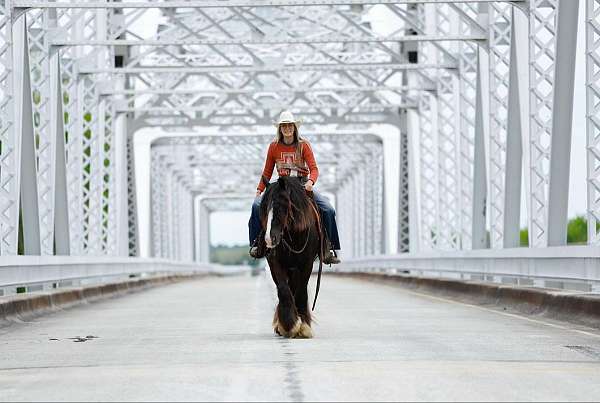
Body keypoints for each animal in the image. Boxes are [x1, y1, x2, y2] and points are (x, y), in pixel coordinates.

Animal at [258, 176, 324, 338]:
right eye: (264, 208)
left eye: (282, 205)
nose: (269, 239)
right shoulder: (275, 262)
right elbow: (283, 289)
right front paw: (288, 325)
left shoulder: (306, 264)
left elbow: (301, 289)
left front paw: (304, 327)